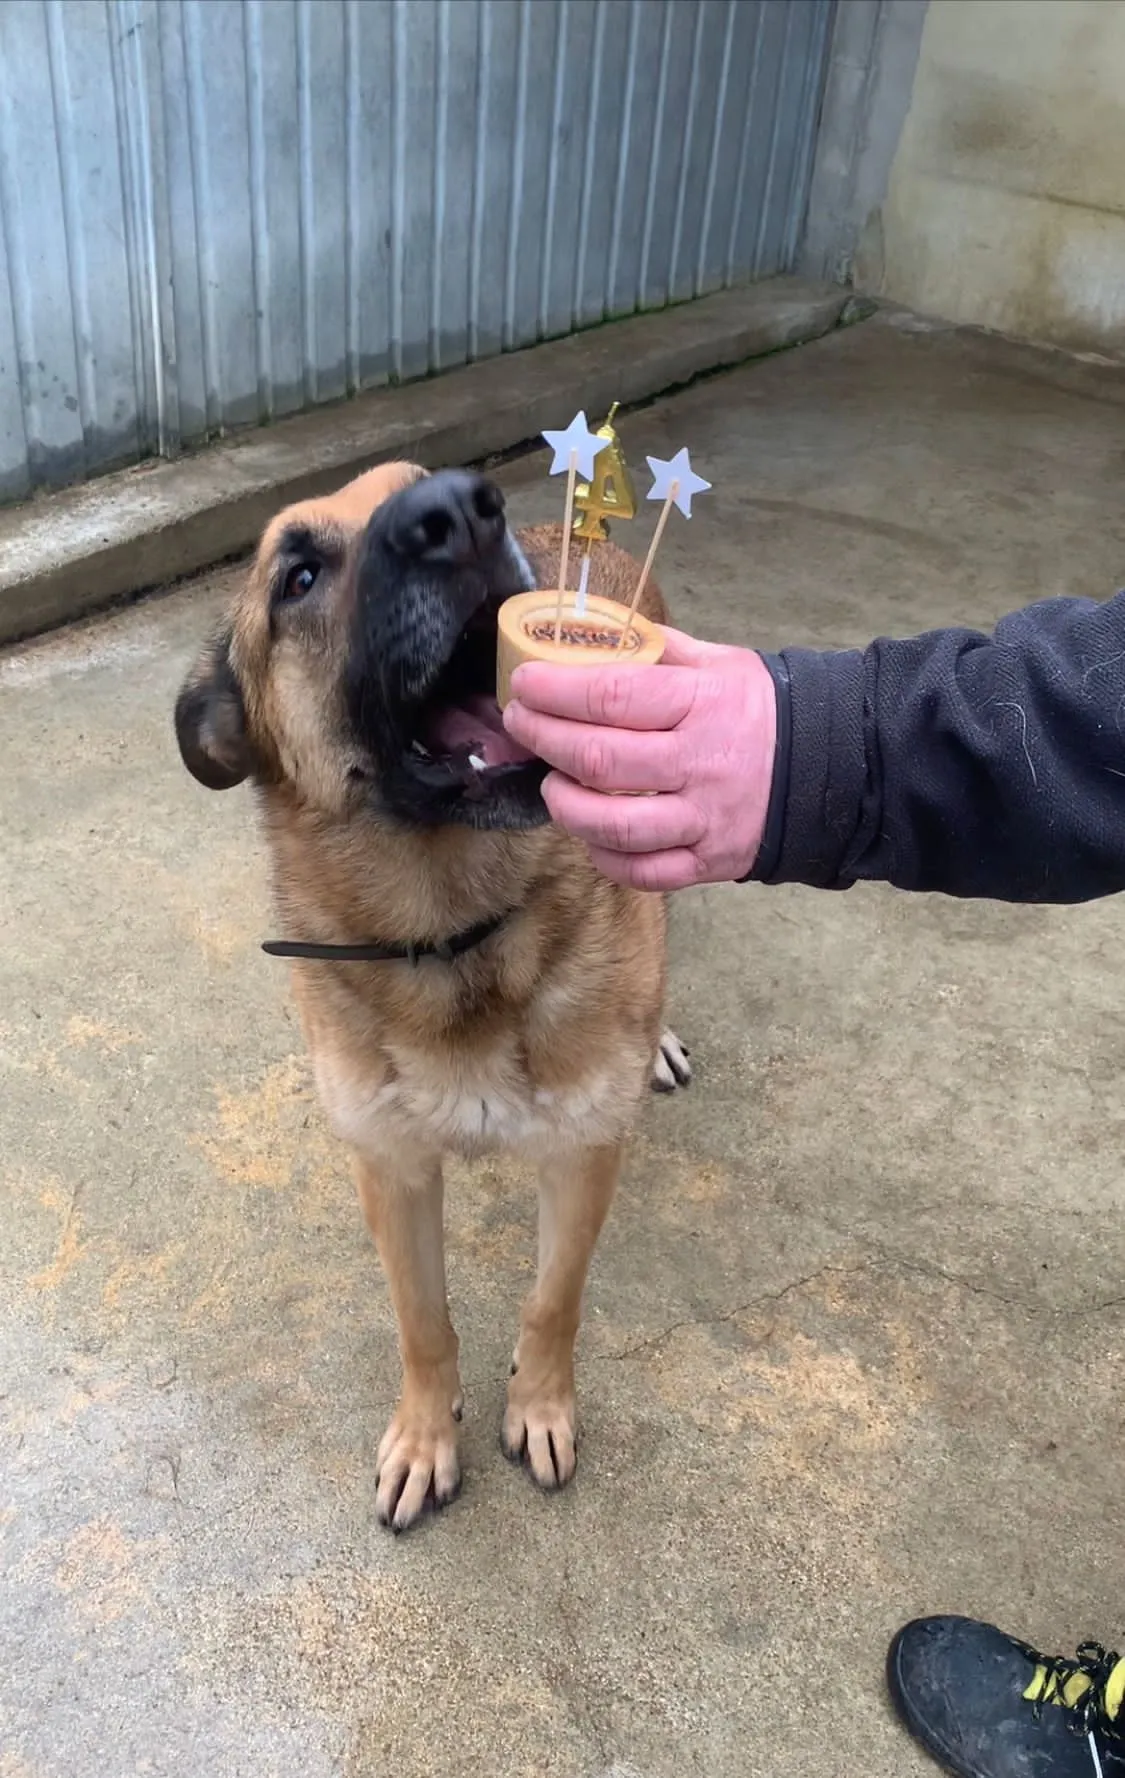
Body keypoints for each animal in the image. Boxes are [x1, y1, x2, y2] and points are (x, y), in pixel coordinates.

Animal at [176, 465, 689, 1536]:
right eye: (296, 577)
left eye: (413, 485)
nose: (461, 508)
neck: (457, 932)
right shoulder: (391, 1167)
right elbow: (421, 1322)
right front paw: (424, 1437)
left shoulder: (582, 1154)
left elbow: (552, 1301)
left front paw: (538, 1408)